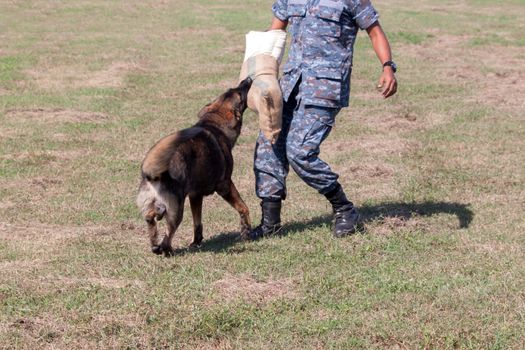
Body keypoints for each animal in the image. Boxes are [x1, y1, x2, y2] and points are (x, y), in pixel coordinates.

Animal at [136, 78, 253, 256]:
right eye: (240, 94)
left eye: (232, 89)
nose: (248, 79)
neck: (214, 122)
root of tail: (155, 175)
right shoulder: (225, 185)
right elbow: (243, 207)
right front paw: (246, 231)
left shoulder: (195, 196)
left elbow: (197, 222)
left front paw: (196, 242)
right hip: (177, 210)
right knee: (168, 234)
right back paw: (166, 250)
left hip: (161, 205)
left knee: (151, 216)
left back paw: (156, 244)